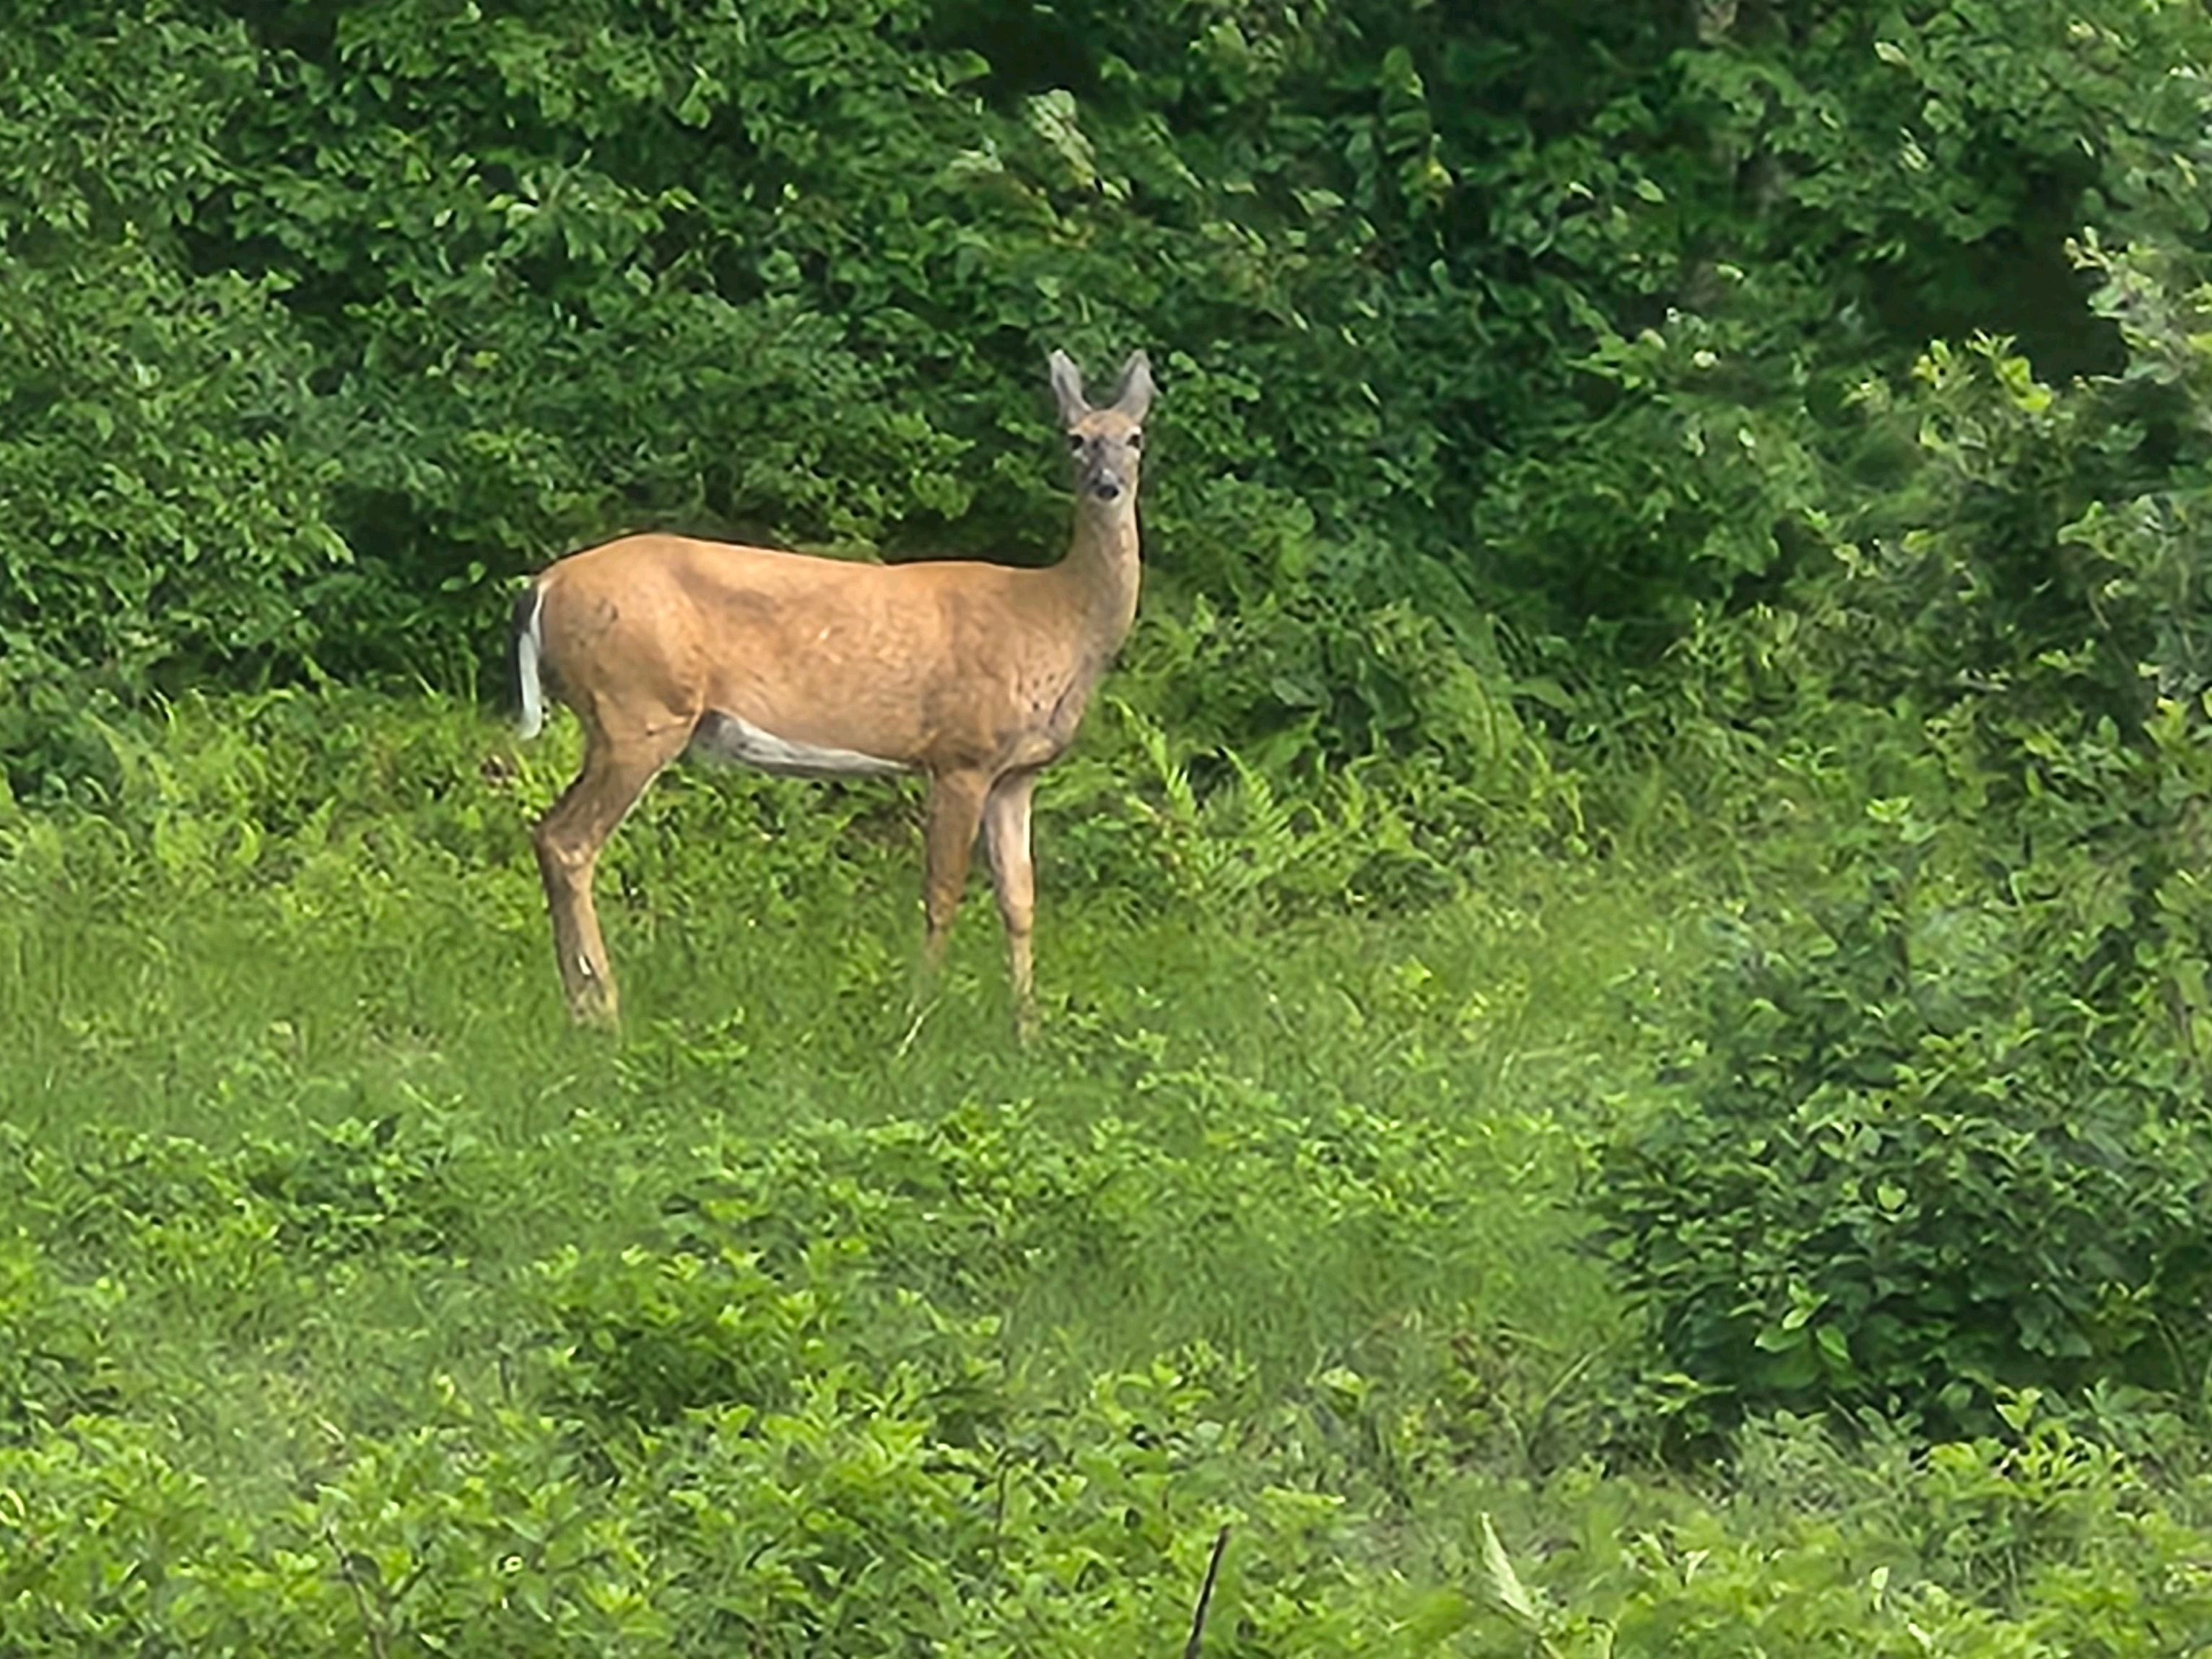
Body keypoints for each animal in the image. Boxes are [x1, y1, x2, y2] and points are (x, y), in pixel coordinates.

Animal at [509, 347, 1155, 1032]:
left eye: (1135, 437)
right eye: (1075, 439)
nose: (1107, 485)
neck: (1055, 615)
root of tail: (543, 586)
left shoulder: (1018, 773)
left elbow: (1020, 902)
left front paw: (1027, 1029)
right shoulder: (960, 755)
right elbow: (941, 894)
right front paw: (918, 1015)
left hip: (620, 717)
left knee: (549, 835)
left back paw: (580, 1004)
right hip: (639, 708)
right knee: (570, 842)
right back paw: (603, 1009)